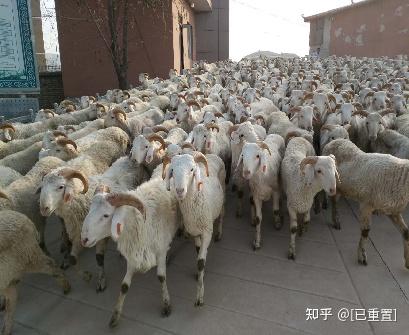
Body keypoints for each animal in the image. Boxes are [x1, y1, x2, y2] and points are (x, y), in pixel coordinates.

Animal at [79, 173, 177, 328]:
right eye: (89, 210)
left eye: (106, 215)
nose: (84, 239)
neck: (140, 223)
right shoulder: (133, 255)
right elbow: (124, 286)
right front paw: (115, 315)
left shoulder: (160, 250)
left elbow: (161, 277)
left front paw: (166, 304)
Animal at [161, 152, 223, 308]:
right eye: (172, 171)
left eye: (191, 170)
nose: (179, 190)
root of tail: (212, 155)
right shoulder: (194, 231)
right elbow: (198, 253)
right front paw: (199, 274)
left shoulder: (207, 232)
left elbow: (200, 261)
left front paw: (199, 297)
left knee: (222, 213)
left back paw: (220, 232)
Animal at [322, 138, 409, 270]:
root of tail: (333, 141)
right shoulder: (366, 205)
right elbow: (366, 231)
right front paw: (362, 257)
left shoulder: (393, 210)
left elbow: (406, 232)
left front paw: (407, 262)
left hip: (341, 187)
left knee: (335, 201)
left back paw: (335, 220)